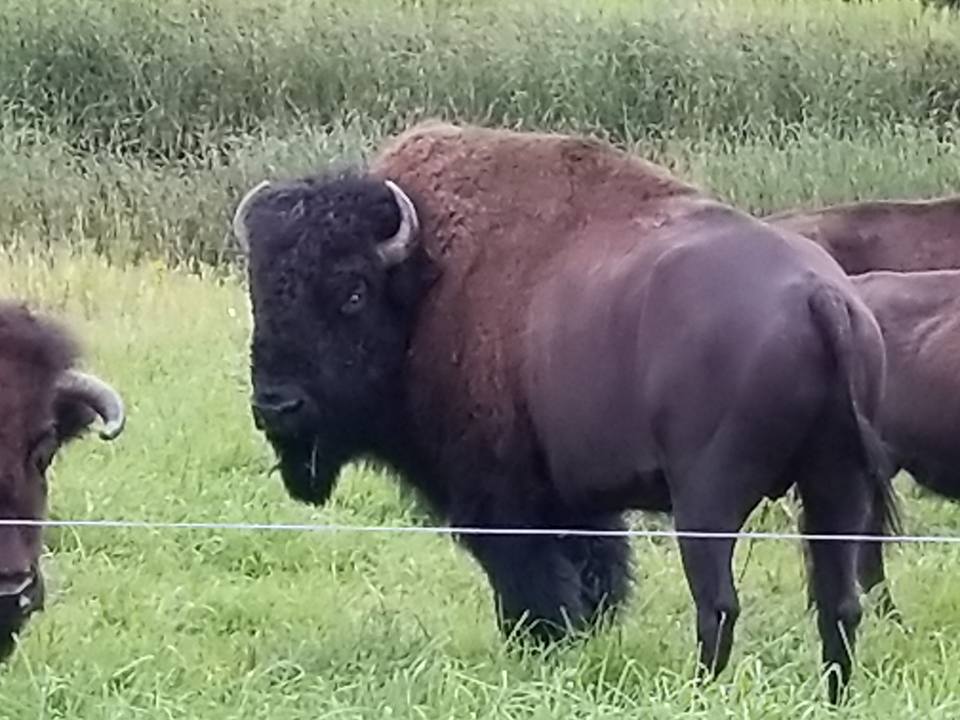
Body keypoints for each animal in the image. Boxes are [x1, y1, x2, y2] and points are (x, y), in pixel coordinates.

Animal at [232, 121, 898, 703]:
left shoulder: (505, 505)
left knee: (718, 603)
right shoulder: (578, 504)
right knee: (839, 603)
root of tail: (820, 295)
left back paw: (698, 692)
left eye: (352, 292)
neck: (425, 281)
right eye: (259, 290)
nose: (276, 404)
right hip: (835, 487)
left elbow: (537, 590)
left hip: (708, 501)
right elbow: (593, 579)